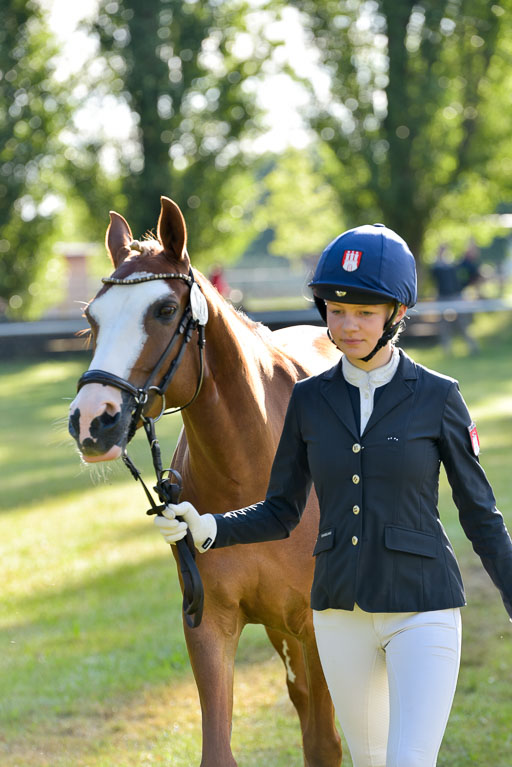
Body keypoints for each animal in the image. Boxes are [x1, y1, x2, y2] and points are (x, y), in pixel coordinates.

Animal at [67, 196, 340, 767]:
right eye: (91, 317)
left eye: (164, 311)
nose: (91, 420)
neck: (253, 481)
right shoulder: (210, 623)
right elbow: (218, 748)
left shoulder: (315, 625)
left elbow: (325, 743)